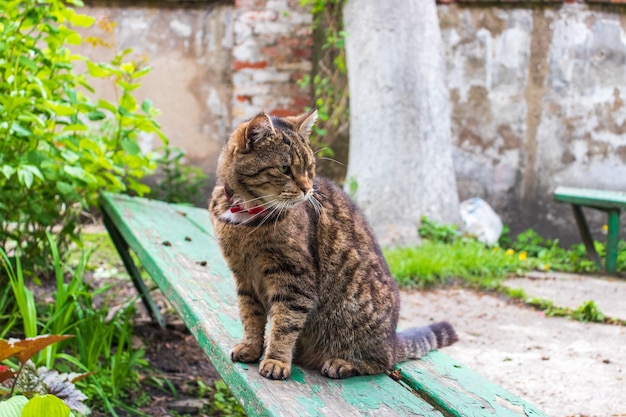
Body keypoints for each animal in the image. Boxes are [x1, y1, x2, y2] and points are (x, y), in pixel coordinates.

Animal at [207, 109, 456, 378]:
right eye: (284, 168)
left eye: (310, 168)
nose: (307, 189)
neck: (245, 215)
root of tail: (393, 339)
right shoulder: (244, 277)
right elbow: (250, 315)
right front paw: (251, 347)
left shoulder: (295, 278)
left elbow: (285, 324)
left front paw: (276, 360)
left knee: (382, 362)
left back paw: (342, 363)